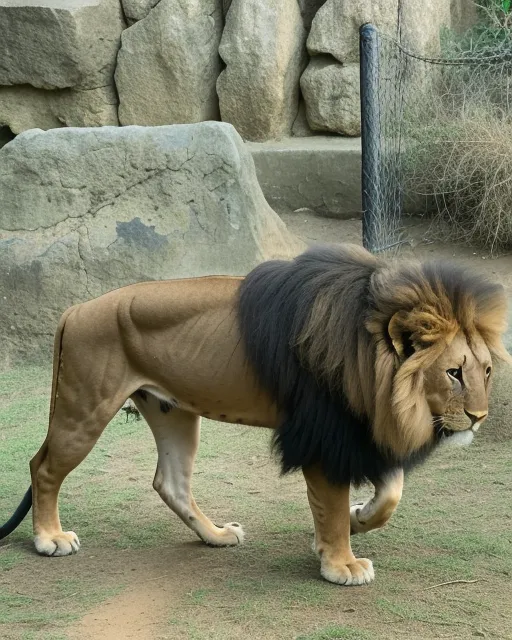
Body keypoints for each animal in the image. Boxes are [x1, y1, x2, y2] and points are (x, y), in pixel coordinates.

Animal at [0, 244, 508, 584]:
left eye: (485, 371)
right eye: (453, 373)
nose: (480, 417)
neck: (371, 366)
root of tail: (76, 308)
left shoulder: (362, 432)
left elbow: (391, 493)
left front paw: (358, 519)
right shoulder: (322, 437)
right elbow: (332, 506)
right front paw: (340, 563)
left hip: (172, 411)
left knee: (171, 482)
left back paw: (217, 536)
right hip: (84, 406)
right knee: (43, 468)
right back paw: (49, 539)